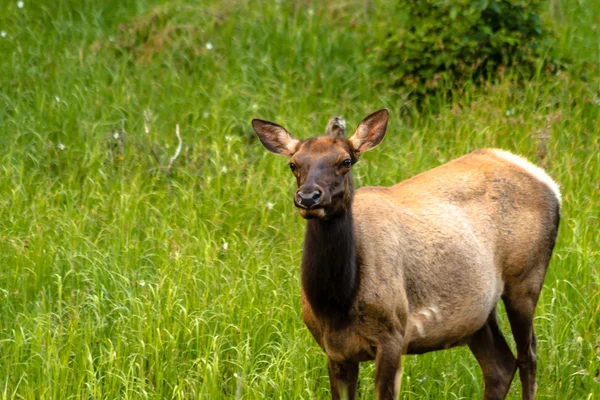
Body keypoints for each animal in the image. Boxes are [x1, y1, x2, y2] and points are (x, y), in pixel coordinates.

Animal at [251, 109, 560, 400]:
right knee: (501, 365)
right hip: (479, 314)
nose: (308, 197)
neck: (338, 302)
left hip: (526, 278)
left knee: (528, 356)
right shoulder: (334, 350)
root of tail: (549, 182)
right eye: (293, 164)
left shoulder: (393, 334)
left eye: (345, 162)